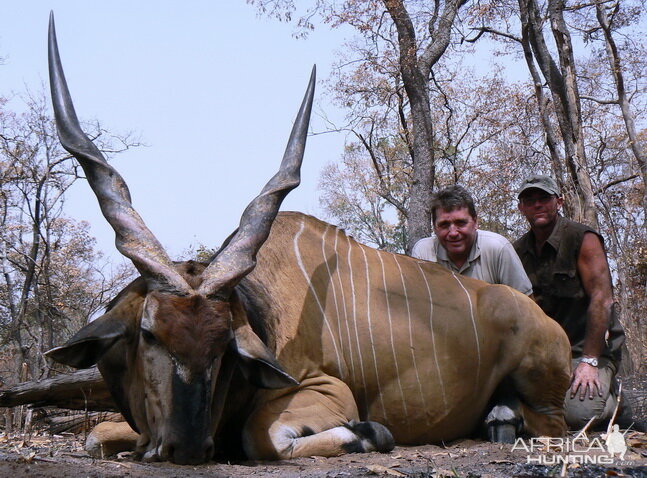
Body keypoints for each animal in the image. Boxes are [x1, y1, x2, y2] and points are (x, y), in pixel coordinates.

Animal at [44, 14, 572, 464]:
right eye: (150, 334)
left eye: (224, 347)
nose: (187, 448)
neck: (264, 311)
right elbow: (95, 435)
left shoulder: (325, 389)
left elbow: (261, 438)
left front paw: (370, 433)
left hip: (546, 394)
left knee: (552, 426)